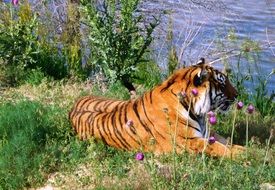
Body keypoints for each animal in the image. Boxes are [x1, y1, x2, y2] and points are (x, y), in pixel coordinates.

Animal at [69, 58, 246, 158]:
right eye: (222, 83)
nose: (237, 94)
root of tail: (74, 105)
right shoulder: (189, 142)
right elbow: (219, 148)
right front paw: (246, 155)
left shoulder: (208, 133)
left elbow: (226, 141)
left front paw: (247, 148)